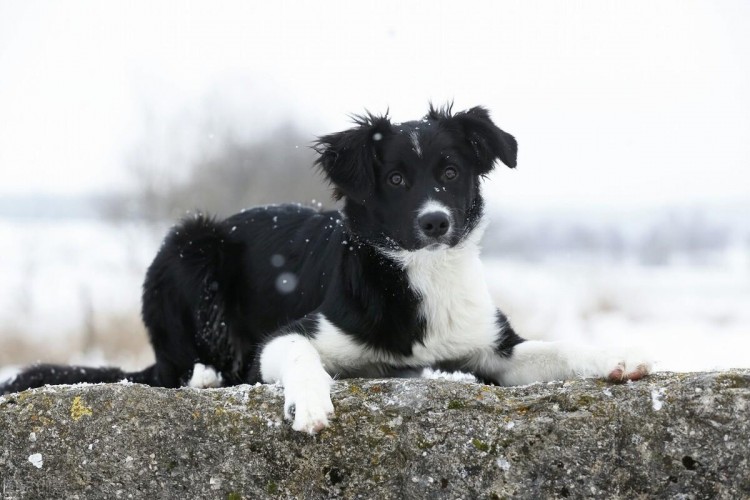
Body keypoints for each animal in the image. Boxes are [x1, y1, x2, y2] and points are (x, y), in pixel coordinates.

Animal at [1, 104, 652, 434]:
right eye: (396, 179)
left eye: (450, 172)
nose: (436, 222)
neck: (420, 275)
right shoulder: (289, 335)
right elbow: (300, 357)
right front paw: (310, 405)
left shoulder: (492, 349)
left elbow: (558, 347)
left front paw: (616, 357)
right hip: (190, 245)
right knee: (177, 369)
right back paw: (205, 377)